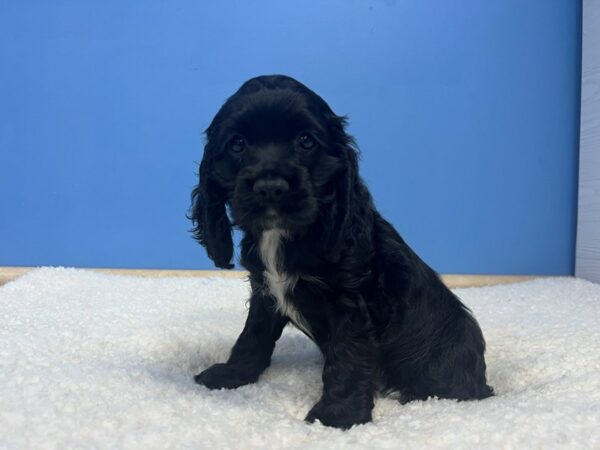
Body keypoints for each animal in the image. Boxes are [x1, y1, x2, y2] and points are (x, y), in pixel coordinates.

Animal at [191, 74, 492, 428]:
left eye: (306, 141)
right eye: (237, 144)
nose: (270, 187)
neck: (283, 236)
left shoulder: (351, 302)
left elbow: (348, 356)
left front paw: (337, 416)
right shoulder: (265, 291)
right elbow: (253, 336)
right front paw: (231, 374)